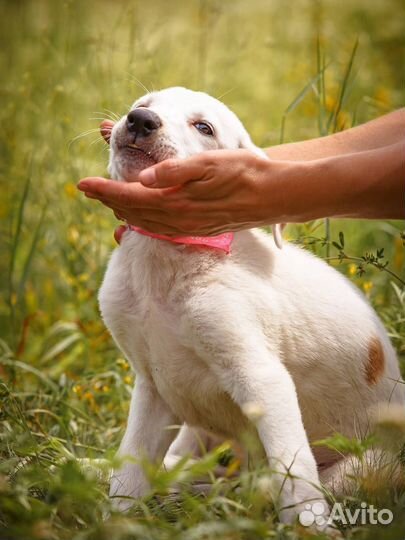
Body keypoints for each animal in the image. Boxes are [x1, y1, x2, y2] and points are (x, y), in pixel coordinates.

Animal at [98, 87, 404, 528]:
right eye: (145, 104)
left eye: (203, 127)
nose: (140, 120)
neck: (166, 261)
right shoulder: (153, 388)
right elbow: (130, 470)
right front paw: (116, 519)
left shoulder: (262, 380)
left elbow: (296, 477)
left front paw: (311, 530)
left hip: (363, 468)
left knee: (263, 487)